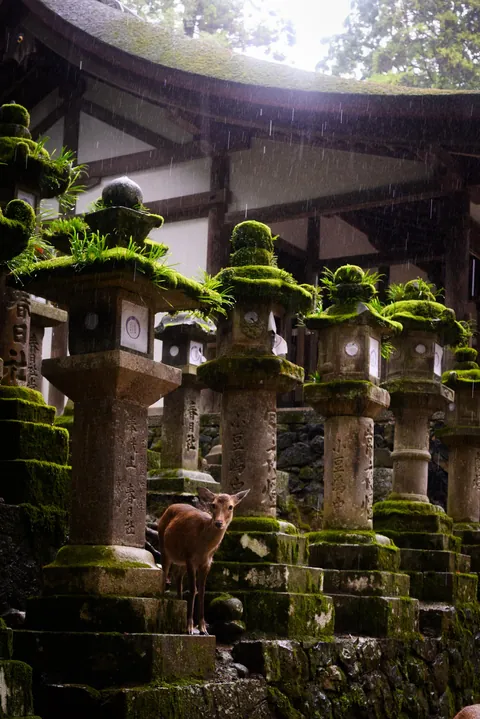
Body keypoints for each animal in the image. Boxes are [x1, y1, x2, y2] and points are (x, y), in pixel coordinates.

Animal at [157, 486, 250, 635]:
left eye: (230, 507)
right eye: (213, 505)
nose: (219, 523)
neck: (203, 548)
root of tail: (169, 508)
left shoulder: (207, 563)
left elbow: (202, 590)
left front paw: (203, 628)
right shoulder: (190, 558)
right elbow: (193, 589)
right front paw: (189, 627)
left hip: (181, 559)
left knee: (177, 575)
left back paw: (179, 600)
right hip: (163, 546)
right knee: (164, 572)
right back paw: (163, 599)